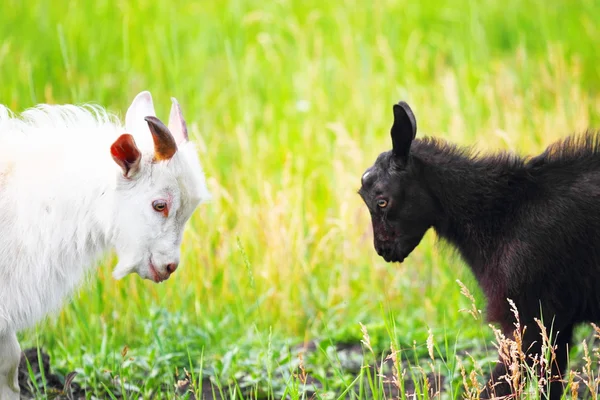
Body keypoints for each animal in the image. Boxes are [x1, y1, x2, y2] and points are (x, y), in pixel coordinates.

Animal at [358, 101, 600, 400]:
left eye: (381, 201)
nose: (383, 249)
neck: (499, 217)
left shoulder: (527, 318)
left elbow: (495, 389)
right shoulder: (554, 324)